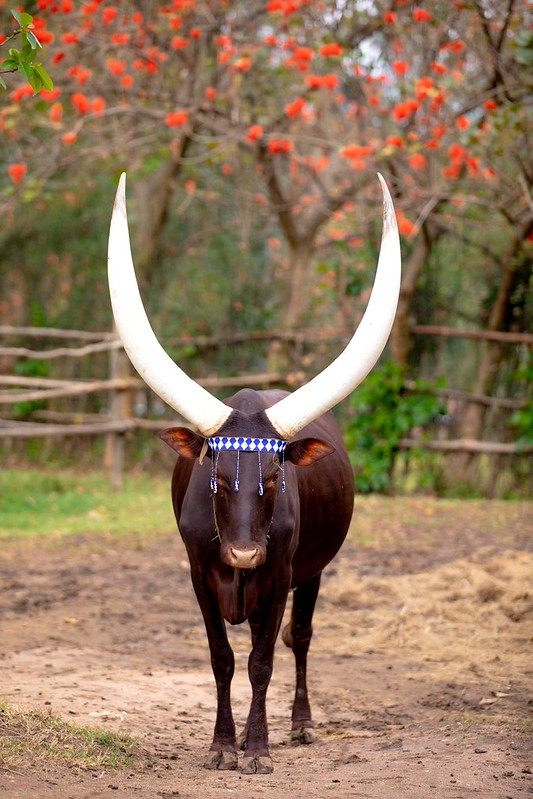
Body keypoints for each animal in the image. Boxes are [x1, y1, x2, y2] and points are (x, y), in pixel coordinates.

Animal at [107, 173, 401, 774]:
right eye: (217, 479)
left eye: (273, 479)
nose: (244, 554)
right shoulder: (198, 574)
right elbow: (222, 659)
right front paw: (224, 745)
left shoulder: (280, 575)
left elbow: (263, 661)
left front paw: (259, 749)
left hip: (310, 572)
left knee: (301, 637)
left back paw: (300, 724)